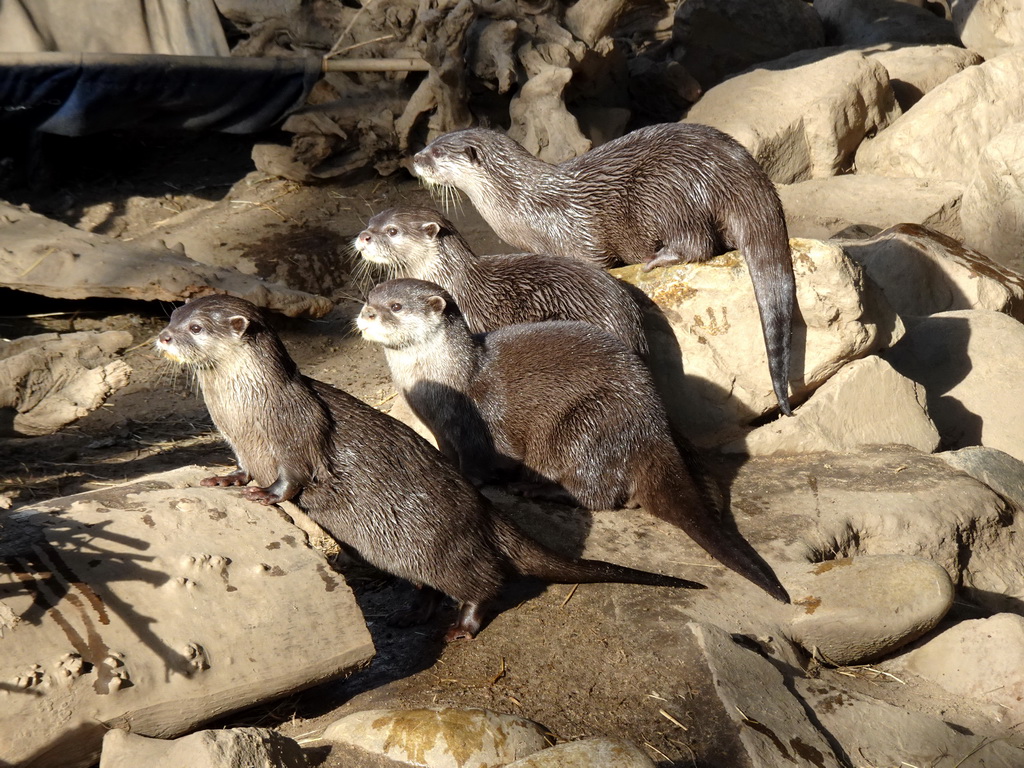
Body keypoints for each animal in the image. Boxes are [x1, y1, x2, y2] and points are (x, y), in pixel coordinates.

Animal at [153, 290, 704, 638]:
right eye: (174, 317)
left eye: (195, 328)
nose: (163, 338)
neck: (247, 410)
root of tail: (483, 514)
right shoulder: (239, 443)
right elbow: (243, 467)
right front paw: (227, 478)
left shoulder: (296, 430)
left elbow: (294, 475)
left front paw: (264, 494)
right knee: (431, 586)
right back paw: (411, 614)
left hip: (446, 545)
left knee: (484, 580)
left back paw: (464, 625)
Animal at [360, 280, 790, 606]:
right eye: (369, 298)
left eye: (395, 306)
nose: (366, 315)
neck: (441, 382)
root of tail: (651, 428)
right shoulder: (442, 431)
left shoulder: (482, 423)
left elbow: (486, 463)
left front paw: (484, 481)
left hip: (583, 425)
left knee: (599, 495)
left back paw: (538, 489)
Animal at [411, 123, 794, 417]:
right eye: (429, 142)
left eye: (438, 152)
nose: (415, 158)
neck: (524, 206)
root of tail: (736, 169)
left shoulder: (578, 237)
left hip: (663, 190)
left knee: (697, 243)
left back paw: (657, 259)